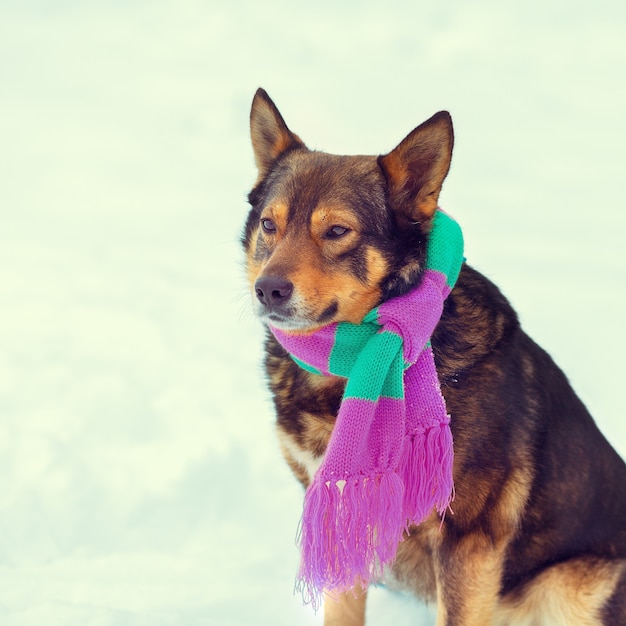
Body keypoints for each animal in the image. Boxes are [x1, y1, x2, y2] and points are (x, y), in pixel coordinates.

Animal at [240, 89, 624, 624]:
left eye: (337, 231)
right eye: (269, 226)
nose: (268, 289)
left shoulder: (468, 539)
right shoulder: (347, 510)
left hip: (569, 588)